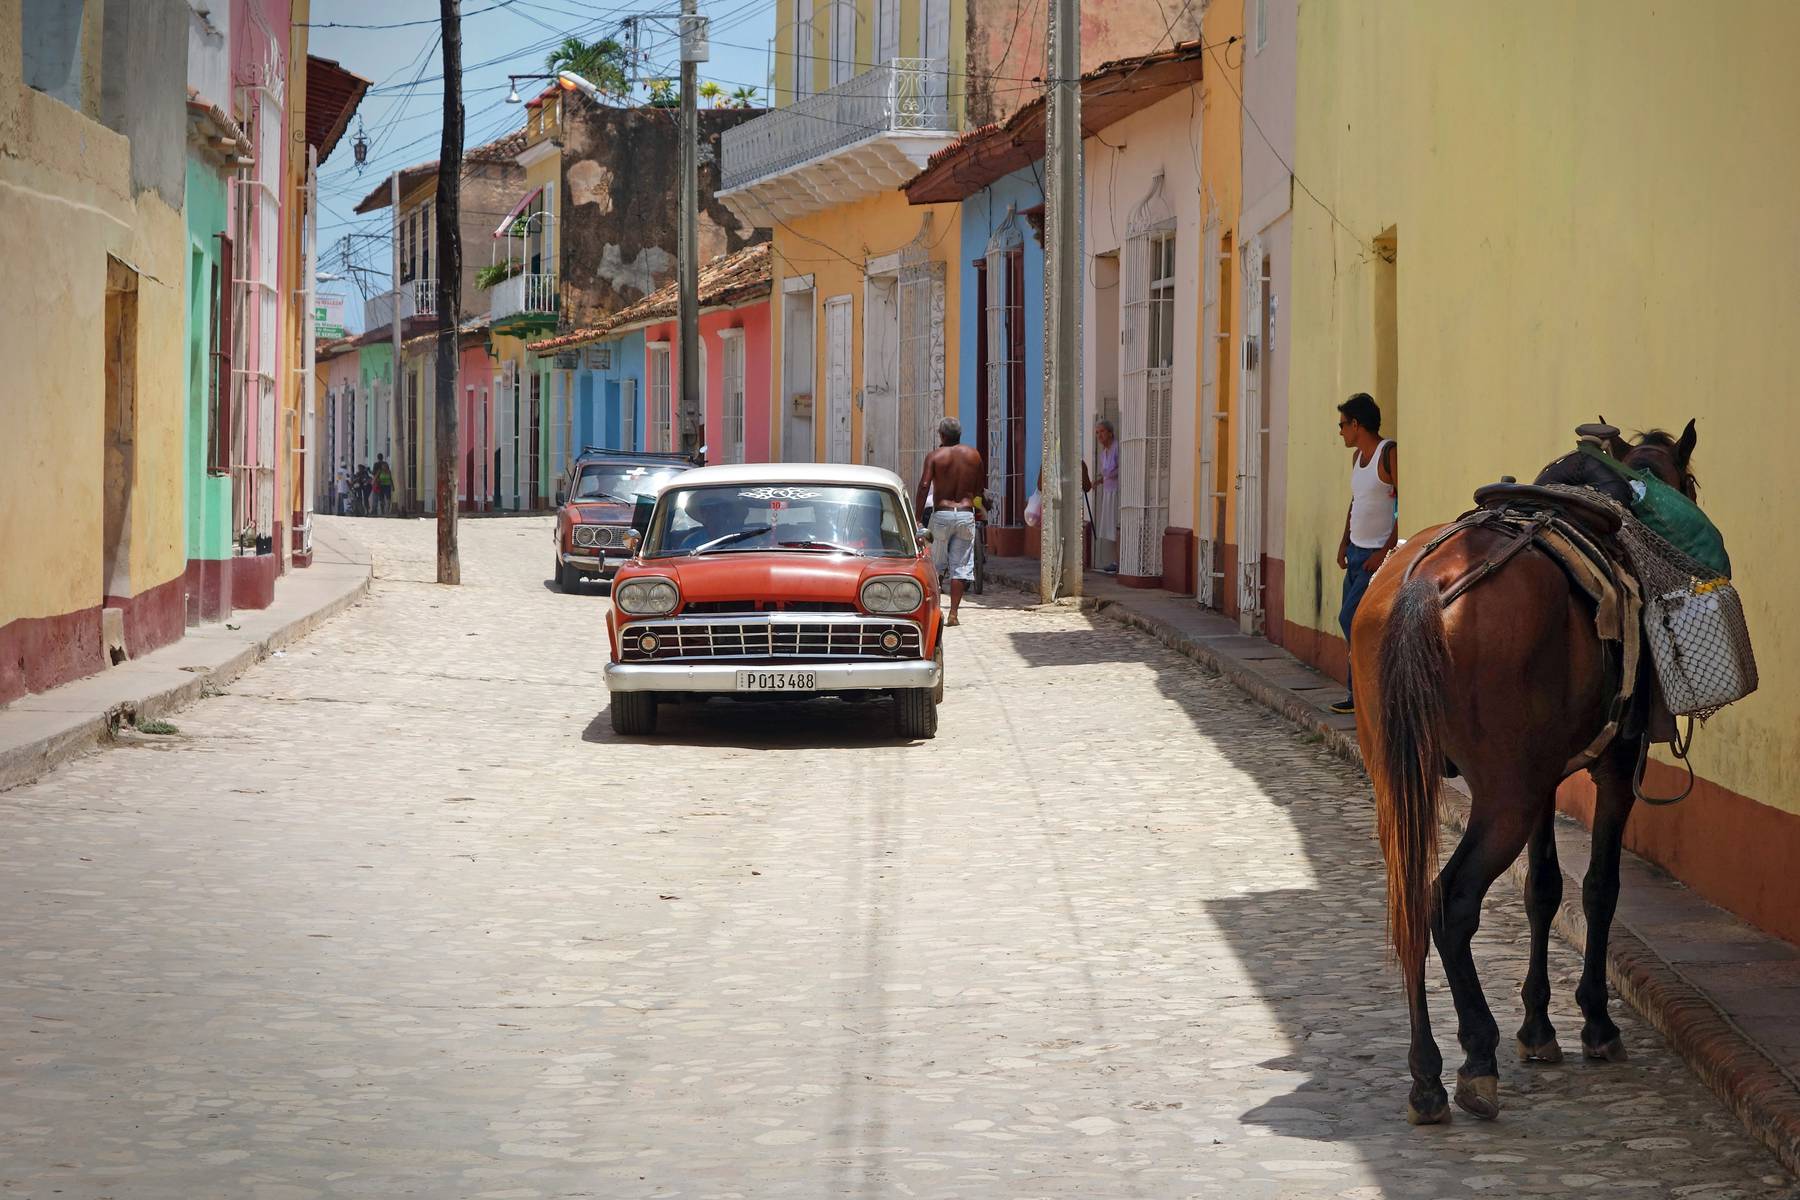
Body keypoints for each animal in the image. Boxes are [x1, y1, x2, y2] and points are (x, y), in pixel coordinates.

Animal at [1353, 420, 1692, 1129]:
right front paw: (1594, 1024)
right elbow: (1597, 887)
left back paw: (1425, 1075)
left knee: (1409, 898)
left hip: (1407, 781)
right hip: (1503, 798)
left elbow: (1542, 888)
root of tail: (1422, 589)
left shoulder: (1544, 780)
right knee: (1451, 901)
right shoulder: (1613, 766)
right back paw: (1475, 1059)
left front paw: (1538, 1026)